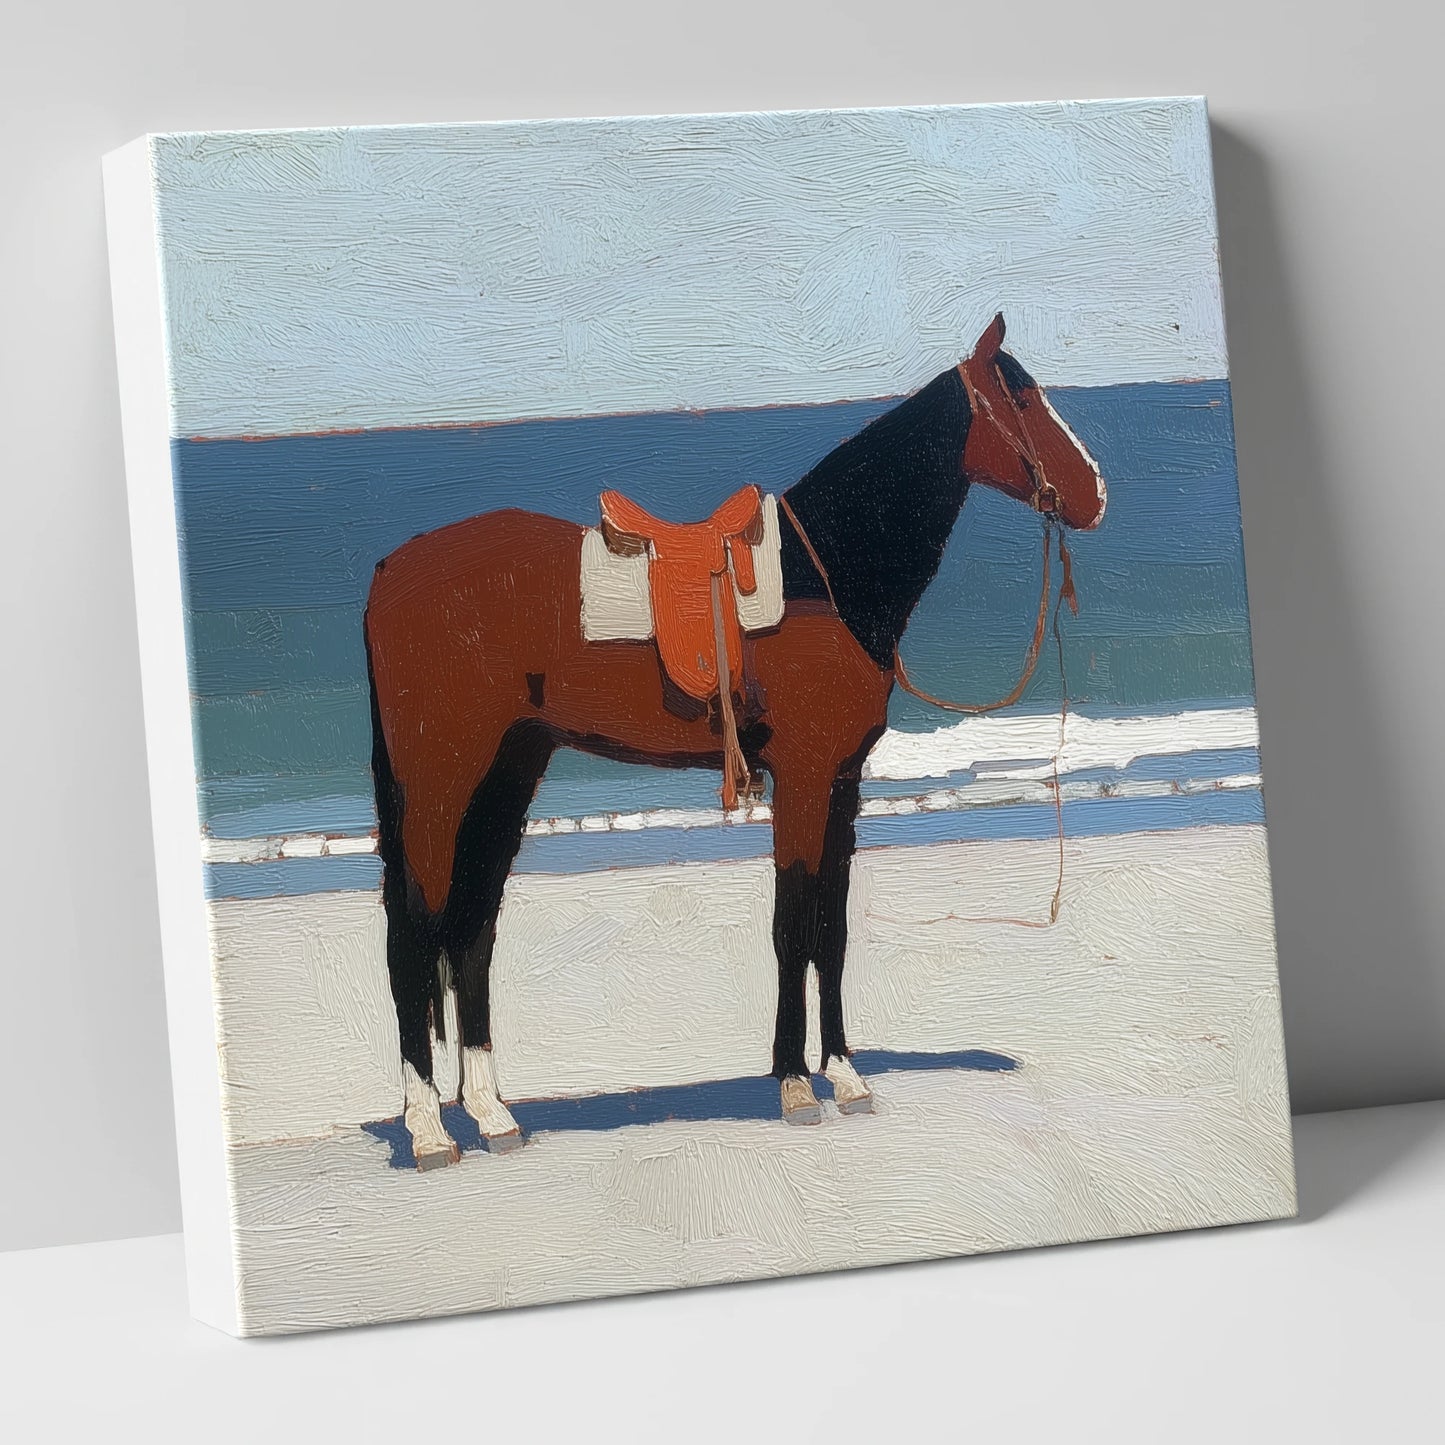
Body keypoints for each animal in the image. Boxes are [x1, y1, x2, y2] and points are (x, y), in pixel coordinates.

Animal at [363, 312, 1106, 1168]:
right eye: (1020, 396)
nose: (1094, 493)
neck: (829, 572)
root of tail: (390, 572)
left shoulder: (842, 782)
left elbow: (831, 928)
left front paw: (844, 1074)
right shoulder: (805, 775)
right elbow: (792, 924)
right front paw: (793, 1084)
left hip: (509, 769)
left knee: (471, 928)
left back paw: (490, 1113)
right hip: (440, 780)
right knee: (415, 931)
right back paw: (427, 1127)